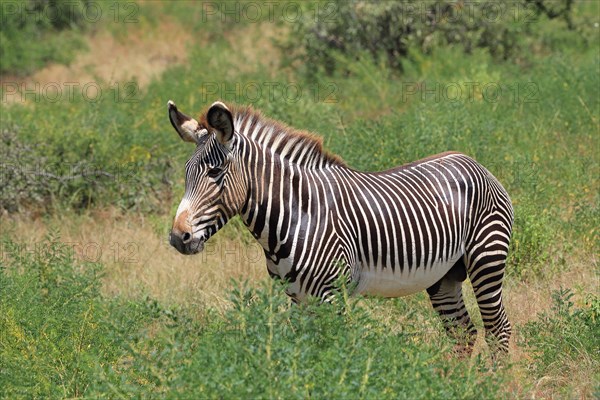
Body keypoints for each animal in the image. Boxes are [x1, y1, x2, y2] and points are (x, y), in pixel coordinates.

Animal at [169, 99, 516, 354]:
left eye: (215, 173)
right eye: (186, 173)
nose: (177, 238)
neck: (298, 215)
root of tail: (472, 161)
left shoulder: (331, 294)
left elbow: (332, 349)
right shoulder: (298, 297)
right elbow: (307, 351)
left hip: (486, 259)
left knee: (498, 329)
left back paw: (492, 382)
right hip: (445, 276)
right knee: (464, 333)